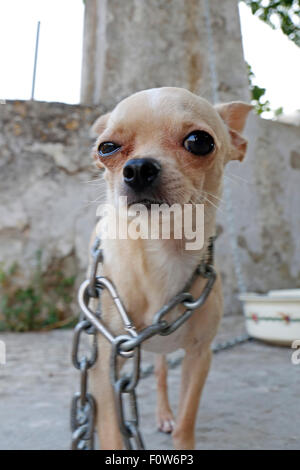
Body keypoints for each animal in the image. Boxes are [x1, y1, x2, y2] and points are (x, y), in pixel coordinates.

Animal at [88, 86, 251, 450]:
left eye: (199, 141)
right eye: (107, 148)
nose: (137, 168)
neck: (162, 252)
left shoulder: (200, 356)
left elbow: (186, 421)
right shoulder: (106, 364)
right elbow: (111, 431)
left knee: (161, 373)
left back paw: (165, 414)